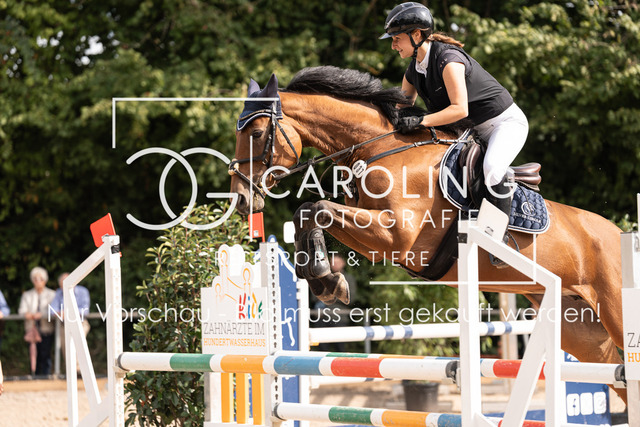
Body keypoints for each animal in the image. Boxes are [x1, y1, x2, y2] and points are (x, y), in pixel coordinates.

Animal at [229, 66, 626, 403]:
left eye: (257, 134)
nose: (241, 198)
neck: (381, 149)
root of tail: (619, 235)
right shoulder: (380, 240)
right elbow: (308, 211)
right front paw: (325, 280)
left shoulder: (395, 235)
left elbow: (319, 208)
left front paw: (327, 279)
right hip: (580, 330)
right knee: (616, 373)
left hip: (614, 310)